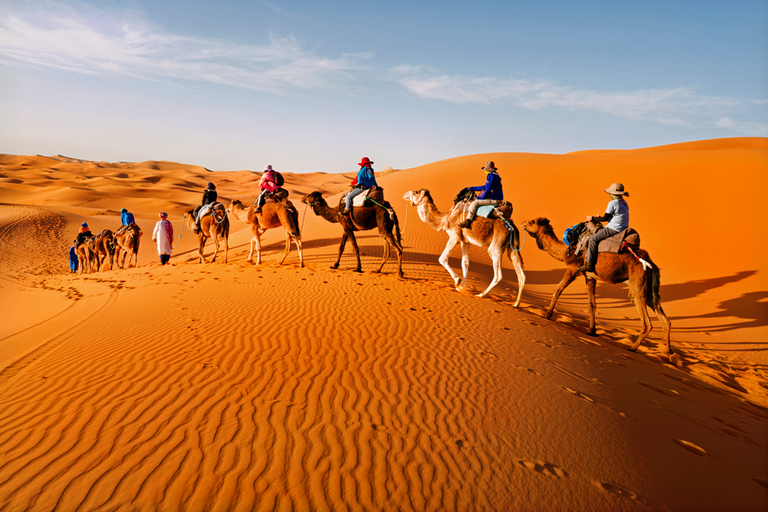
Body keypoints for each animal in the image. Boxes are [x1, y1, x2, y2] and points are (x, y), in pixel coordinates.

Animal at [520, 218, 676, 362]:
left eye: (532, 222)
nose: (522, 223)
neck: (566, 251)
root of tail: (651, 263)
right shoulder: (590, 276)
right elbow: (592, 304)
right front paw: (592, 331)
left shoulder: (573, 268)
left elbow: (558, 290)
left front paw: (547, 315)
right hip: (648, 289)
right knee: (665, 320)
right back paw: (670, 355)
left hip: (637, 286)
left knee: (647, 322)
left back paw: (633, 348)